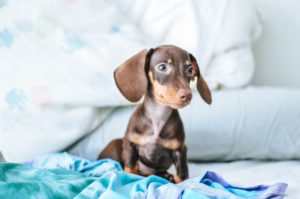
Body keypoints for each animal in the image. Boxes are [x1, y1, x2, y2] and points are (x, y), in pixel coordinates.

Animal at [98, 45, 211, 183]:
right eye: (162, 67)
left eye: (190, 70)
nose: (187, 96)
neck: (158, 115)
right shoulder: (130, 144)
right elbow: (130, 169)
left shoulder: (179, 150)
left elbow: (182, 175)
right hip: (115, 145)